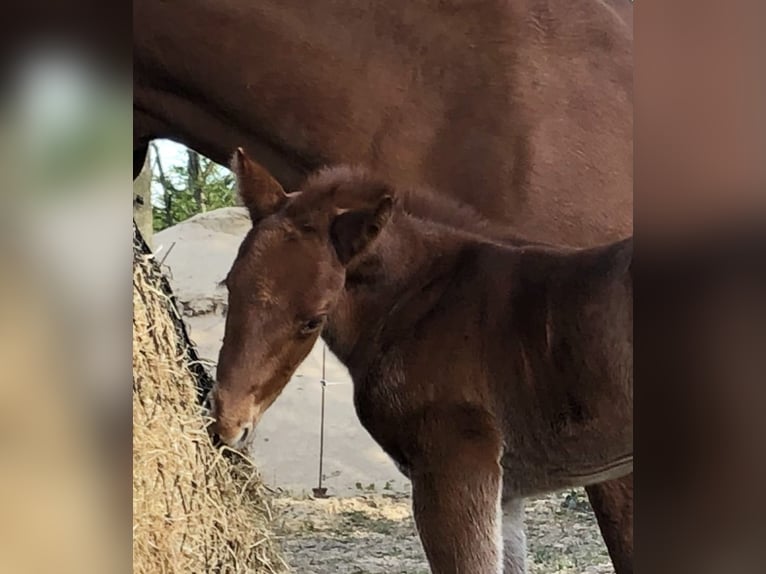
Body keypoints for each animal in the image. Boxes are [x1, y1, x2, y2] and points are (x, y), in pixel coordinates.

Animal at [208, 150, 633, 573]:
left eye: (313, 319)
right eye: (229, 285)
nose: (228, 423)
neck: (421, 299)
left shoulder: (453, 467)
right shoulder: (506, 492)